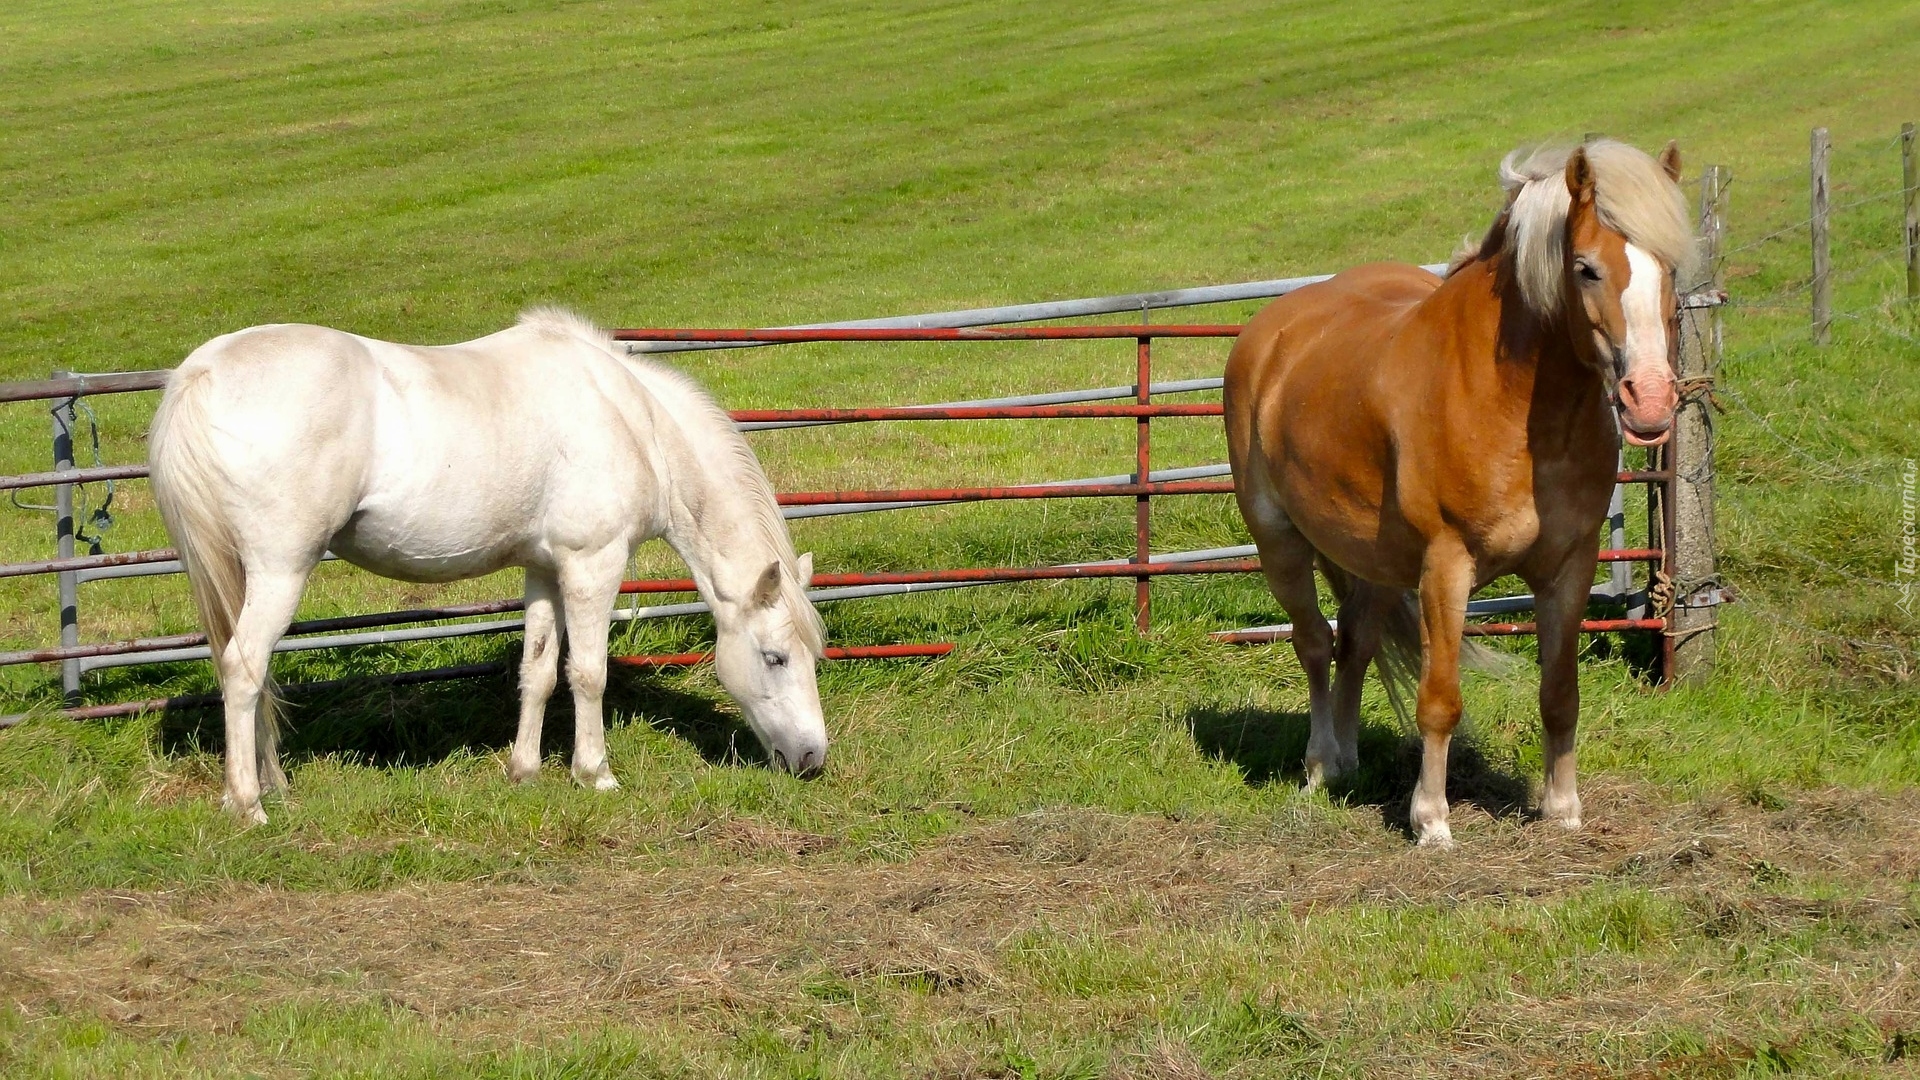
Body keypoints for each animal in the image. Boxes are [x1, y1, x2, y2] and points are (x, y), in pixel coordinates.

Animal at [147, 307, 825, 818]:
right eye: (775, 657)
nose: (812, 760)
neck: (635, 421)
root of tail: (204, 370)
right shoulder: (593, 566)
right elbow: (589, 674)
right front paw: (595, 773)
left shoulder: (545, 569)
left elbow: (539, 670)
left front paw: (524, 770)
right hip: (280, 571)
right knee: (243, 669)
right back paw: (249, 804)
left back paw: (276, 788)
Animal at [1228, 141, 1697, 841]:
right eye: (1585, 268)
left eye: (1666, 266)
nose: (1650, 400)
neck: (1510, 404)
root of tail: (1272, 332)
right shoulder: (1446, 568)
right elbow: (1440, 700)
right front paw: (1431, 821)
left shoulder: (1570, 567)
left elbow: (1560, 695)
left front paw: (1563, 810)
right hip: (1279, 542)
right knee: (1313, 644)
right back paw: (1319, 769)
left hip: (1368, 559)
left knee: (1355, 642)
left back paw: (1348, 761)